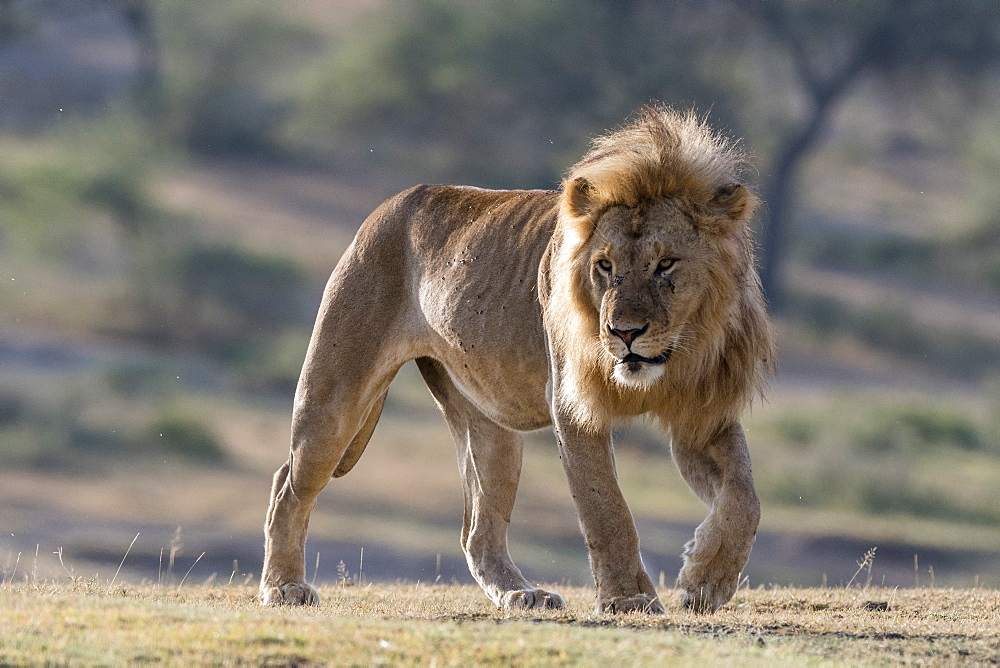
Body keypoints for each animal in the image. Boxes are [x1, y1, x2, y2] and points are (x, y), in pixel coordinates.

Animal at [258, 107, 772, 612]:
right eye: (604, 266)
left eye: (666, 264)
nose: (623, 333)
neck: (675, 355)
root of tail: (395, 201)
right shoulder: (573, 406)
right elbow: (607, 509)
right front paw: (629, 598)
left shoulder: (702, 415)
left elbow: (744, 498)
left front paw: (706, 581)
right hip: (335, 395)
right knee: (288, 484)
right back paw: (283, 587)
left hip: (490, 427)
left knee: (477, 532)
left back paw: (521, 593)